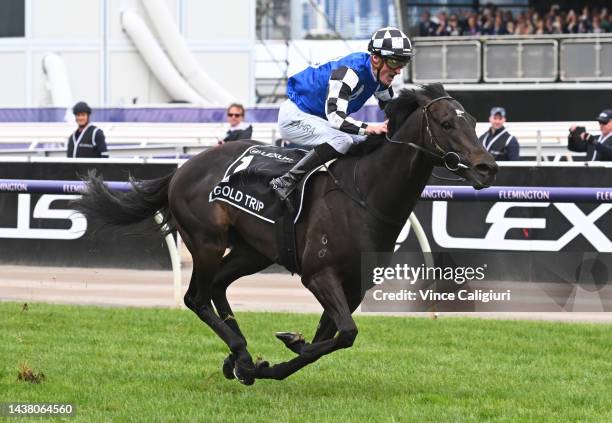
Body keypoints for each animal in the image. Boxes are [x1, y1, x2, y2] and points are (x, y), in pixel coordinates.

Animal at [74, 83, 500, 384]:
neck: (365, 194)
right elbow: (344, 334)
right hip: (207, 242)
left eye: (473, 121)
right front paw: (267, 362)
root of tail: (182, 169)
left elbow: (329, 337)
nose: (487, 168)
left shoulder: (355, 285)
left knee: (217, 288)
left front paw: (281, 352)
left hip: (252, 251)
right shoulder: (319, 275)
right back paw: (242, 355)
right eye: (446, 124)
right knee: (196, 297)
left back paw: (238, 356)